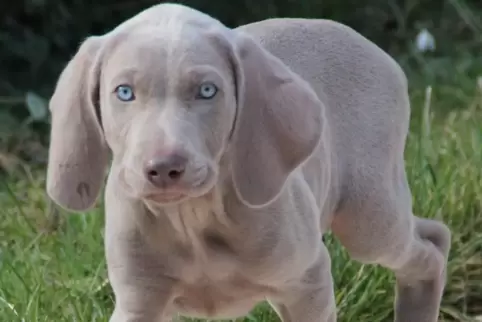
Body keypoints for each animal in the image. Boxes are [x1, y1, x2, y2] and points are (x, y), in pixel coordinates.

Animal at [45, 2, 452, 322]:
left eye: (207, 91)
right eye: (124, 92)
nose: (163, 168)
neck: (194, 219)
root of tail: (370, 46)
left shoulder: (307, 280)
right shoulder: (139, 301)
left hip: (367, 217)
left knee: (430, 244)